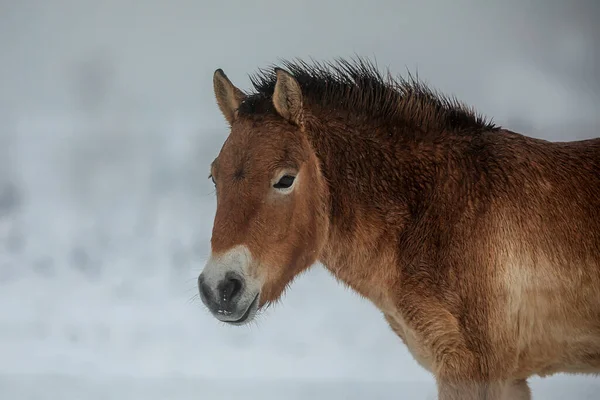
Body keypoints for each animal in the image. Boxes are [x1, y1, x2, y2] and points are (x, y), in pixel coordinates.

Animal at [198, 57, 600, 398]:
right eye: (214, 176)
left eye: (285, 179)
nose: (220, 289)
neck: (435, 212)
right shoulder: (509, 378)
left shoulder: (477, 374)